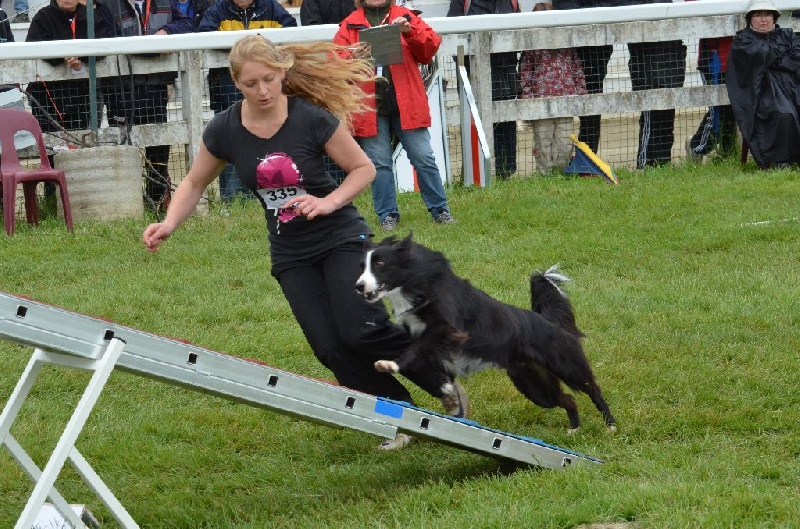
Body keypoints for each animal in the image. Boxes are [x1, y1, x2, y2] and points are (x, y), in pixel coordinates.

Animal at [356, 235, 620, 434]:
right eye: (362, 266)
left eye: (380, 264)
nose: (358, 286)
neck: (418, 281)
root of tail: (548, 321)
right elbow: (422, 355)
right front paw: (445, 386)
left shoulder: (448, 328)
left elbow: (414, 349)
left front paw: (389, 364)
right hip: (533, 385)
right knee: (567, 398)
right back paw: (574, 428)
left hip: (566, 365)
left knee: (593, 389)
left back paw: (611, 425)